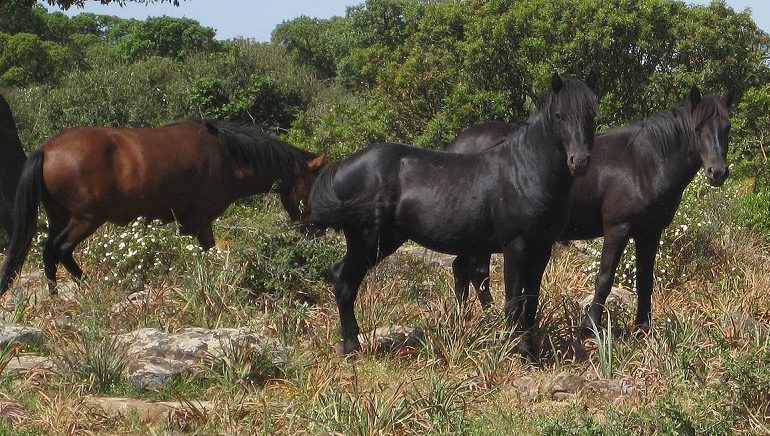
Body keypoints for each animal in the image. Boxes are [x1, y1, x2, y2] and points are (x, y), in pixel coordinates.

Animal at [0, 119, 322, 294]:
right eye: (312, 189)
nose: (315, 234)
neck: (227, 157)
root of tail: (47, 150)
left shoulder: (201, 224)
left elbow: (206, 251)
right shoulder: (193, 221)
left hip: (59, 216)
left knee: (49, 253)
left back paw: (55, 293)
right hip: (85, 219)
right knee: (61, 249)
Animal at [308, 74, 596, 354]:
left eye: (591, 115)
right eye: (559, 115)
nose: (579, 161)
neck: (524, 171)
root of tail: (342, 166)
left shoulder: (542, 247)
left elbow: (531, 300)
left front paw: (530, 350)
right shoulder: (515, 246)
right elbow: (515, 300)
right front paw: (516, 350)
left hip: (383, 241)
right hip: (369, 242)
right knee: (344, 284)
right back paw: (352, 346)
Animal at [440, 87, 728, 334]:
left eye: (727, 127)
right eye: (698, 128)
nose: (718, 172)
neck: (646, 162)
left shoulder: (650, 232)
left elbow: (645, 279)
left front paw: (643, 329)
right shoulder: (617, 228)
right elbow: (605, 277)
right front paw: (590, 326)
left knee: (464, 270)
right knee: (475, 272)